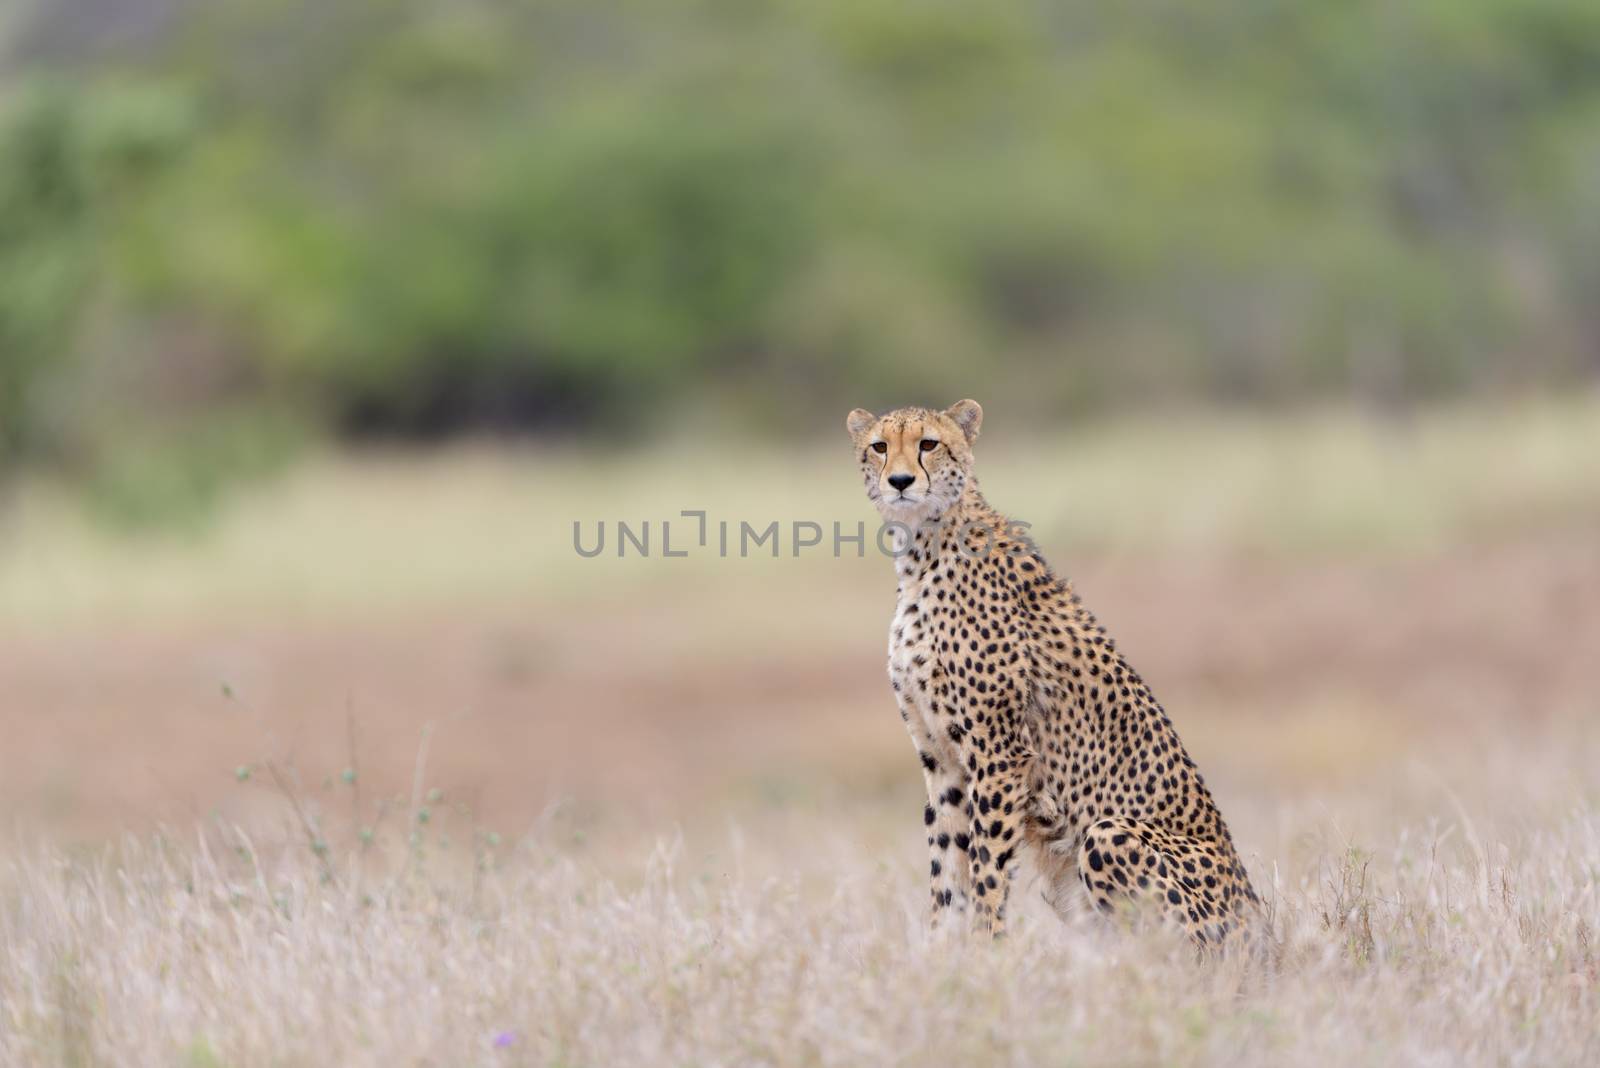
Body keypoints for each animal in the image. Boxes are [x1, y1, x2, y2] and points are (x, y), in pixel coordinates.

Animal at [851, 402, 1260, 952]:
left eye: (929, 444)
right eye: (879, 446)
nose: (899, 481)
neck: (924, 549)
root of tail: (1263, 926)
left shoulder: (999, 752)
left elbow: (986, 865)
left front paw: (987, 949)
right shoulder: (941, 758)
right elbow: (945, 865)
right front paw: (939, 951)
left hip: (1110, 834)